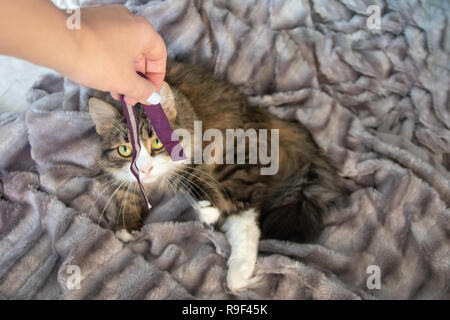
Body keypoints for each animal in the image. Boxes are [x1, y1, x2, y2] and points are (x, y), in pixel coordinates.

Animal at [89, 58, 346, 292]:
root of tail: (258, 113)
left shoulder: (196, 152)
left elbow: (193, 176)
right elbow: (125, 191)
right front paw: (126, 224)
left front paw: (207, 207)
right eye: (125, 150)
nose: (146, 169)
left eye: (157, 143)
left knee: (245, 216)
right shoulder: (120, 173)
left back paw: (238, 274)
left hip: (232, 161)